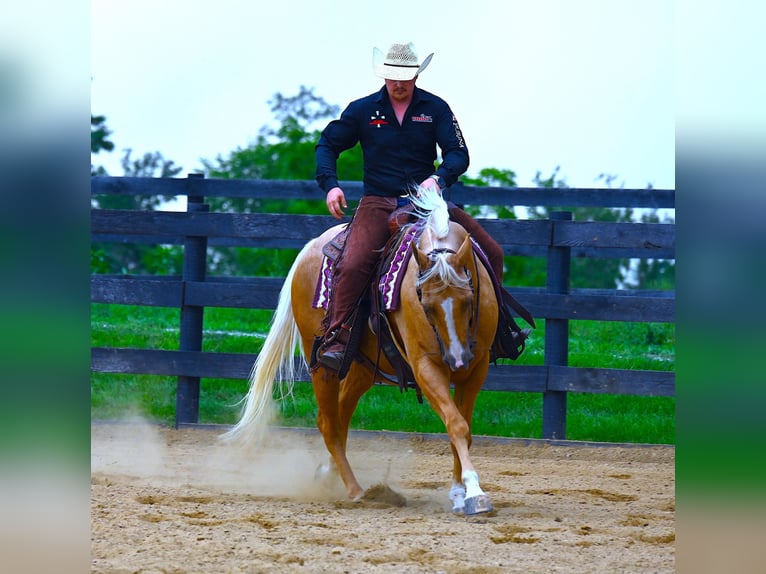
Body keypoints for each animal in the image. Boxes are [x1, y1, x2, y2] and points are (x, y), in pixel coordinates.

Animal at [226, 190, 504, 516]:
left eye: (468, 300)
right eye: (426, 306)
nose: (457, 359)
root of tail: (311, 247)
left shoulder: (477, 368)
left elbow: (463, 428)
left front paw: (459, 492)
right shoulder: (425, 366)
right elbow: (457, 425)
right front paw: (474, 492)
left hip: (362, 366)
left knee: (341, 414)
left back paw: (331, 473)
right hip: (320, 363)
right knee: (328, 423)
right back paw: (356, 490)